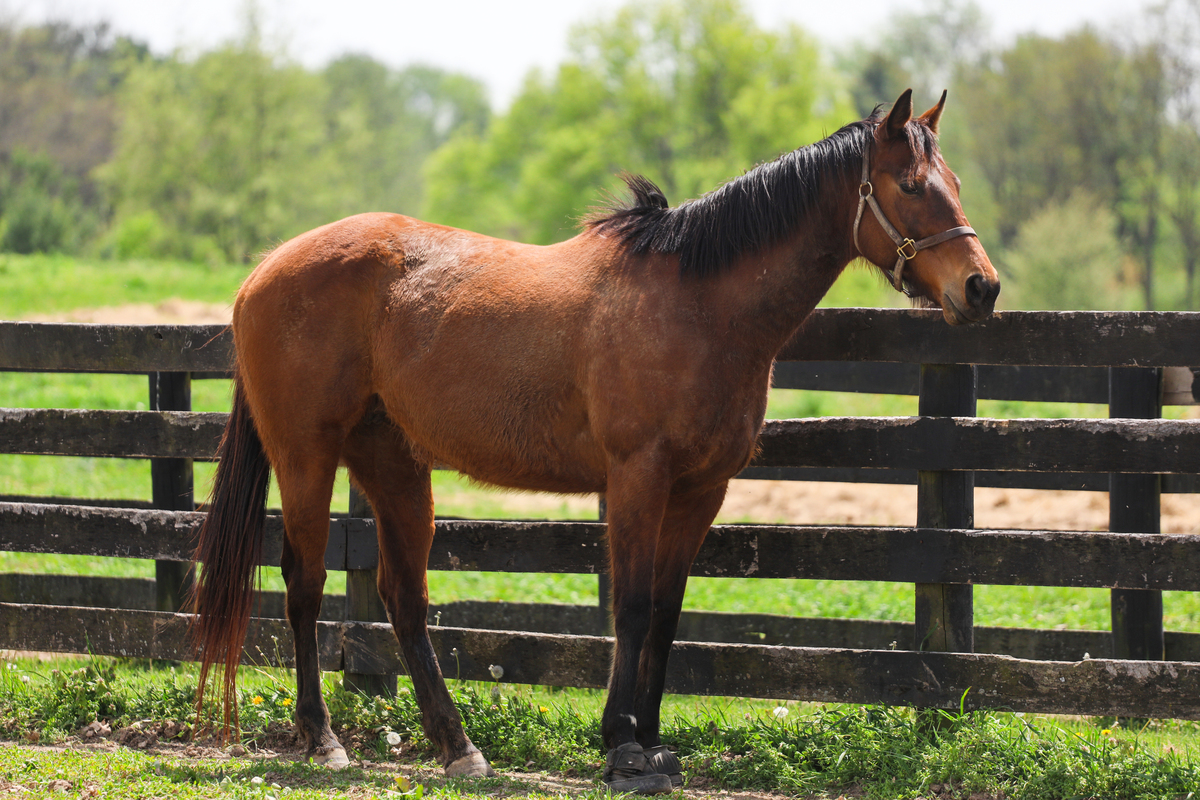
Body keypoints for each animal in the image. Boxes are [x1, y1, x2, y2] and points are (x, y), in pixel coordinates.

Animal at [192, 89, 999, 794]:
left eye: (956, 183)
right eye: (911, 184)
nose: (981, 288)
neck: (698, 304)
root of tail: (262, 272)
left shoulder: (701, 489)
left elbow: (667, 613)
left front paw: (656, 742)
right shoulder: (639, 476)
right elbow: (633, 607)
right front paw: (623, 747)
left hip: (391, 462)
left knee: (404, 598)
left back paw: (458, 748)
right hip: (306, 455)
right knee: (305, 584)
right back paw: (322, 737)